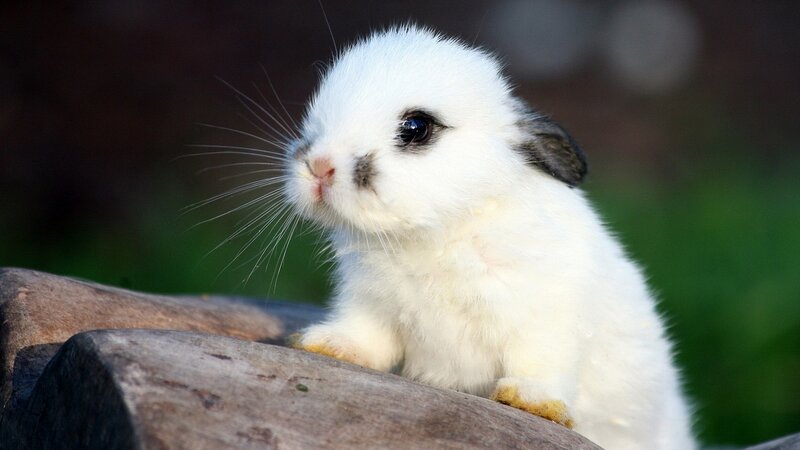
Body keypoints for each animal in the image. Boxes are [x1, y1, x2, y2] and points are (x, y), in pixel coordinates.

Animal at [284, 25, 695, 450]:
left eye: (416, 127)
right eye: (317, 118)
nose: (319, 166)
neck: (436, 233)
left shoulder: (546, 315)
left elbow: (541, 360)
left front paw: (530, 401)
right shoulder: (370, 304)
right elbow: (366, 338)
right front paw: (326, 345)